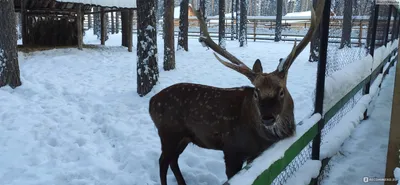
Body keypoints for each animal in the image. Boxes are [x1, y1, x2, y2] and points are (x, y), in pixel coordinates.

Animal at [149, 0, 324, 184]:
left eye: (281, 91)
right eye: (256, 93)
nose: (267, 118)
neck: (263, 138)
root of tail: (151, 102)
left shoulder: (255, 154)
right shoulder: (232, 149)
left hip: (184, 137)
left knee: (173, 159)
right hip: (168, 133)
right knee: (163, 161)